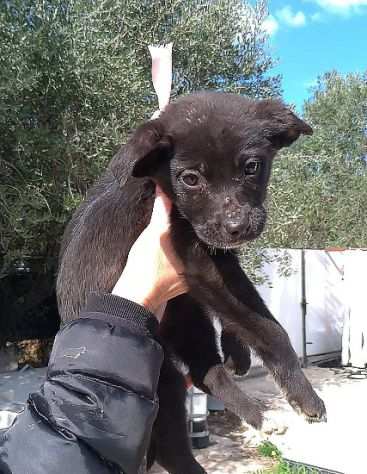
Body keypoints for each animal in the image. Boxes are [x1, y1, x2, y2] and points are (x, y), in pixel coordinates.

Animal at [57, 90, 328, 472]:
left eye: (252, 167)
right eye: (190, 179)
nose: (237, 227)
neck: (155, 185)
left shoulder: (216, 261)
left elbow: (243, 312)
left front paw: (237, 350)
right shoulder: (198, 264)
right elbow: (268, 327)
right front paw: (306, 398)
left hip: (186, 318)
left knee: (204, 371)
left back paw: (259, 415)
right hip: (163, 380)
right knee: (175, 447)